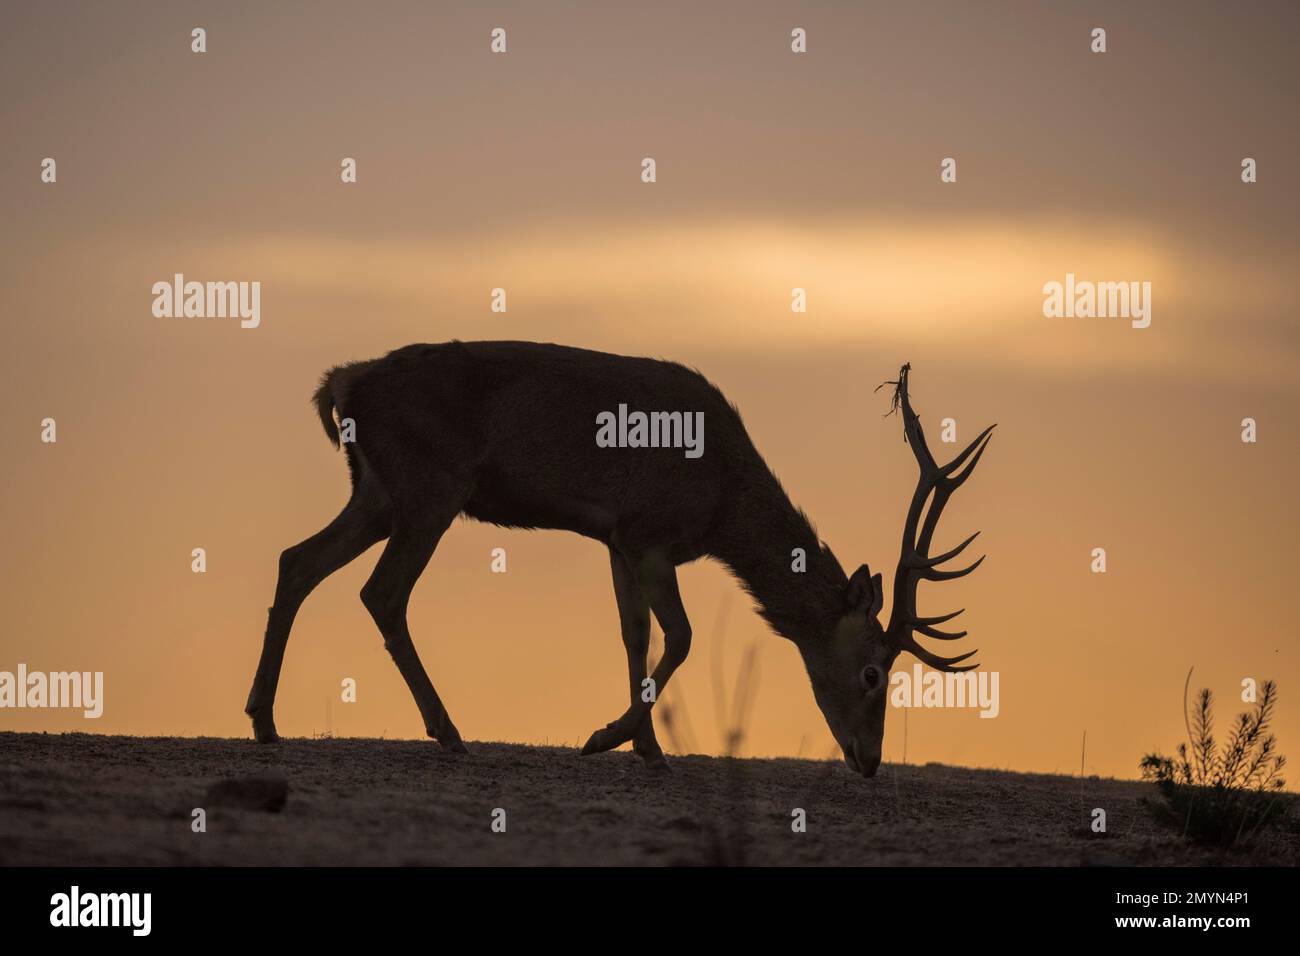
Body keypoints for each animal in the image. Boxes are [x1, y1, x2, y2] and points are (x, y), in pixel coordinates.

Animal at [245, 343, 993, 780]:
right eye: (872, 672)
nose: (870, 760)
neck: (722, 505)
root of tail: (339, 384)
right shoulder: (649, 533)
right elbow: (681, 635)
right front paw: (607, 736)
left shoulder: (616, 539)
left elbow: (634, 632)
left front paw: (647, 745)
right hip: (430, 487)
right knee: (381, 593)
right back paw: (450, 733)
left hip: (376, 492)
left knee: (295, 561)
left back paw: (264, 719)